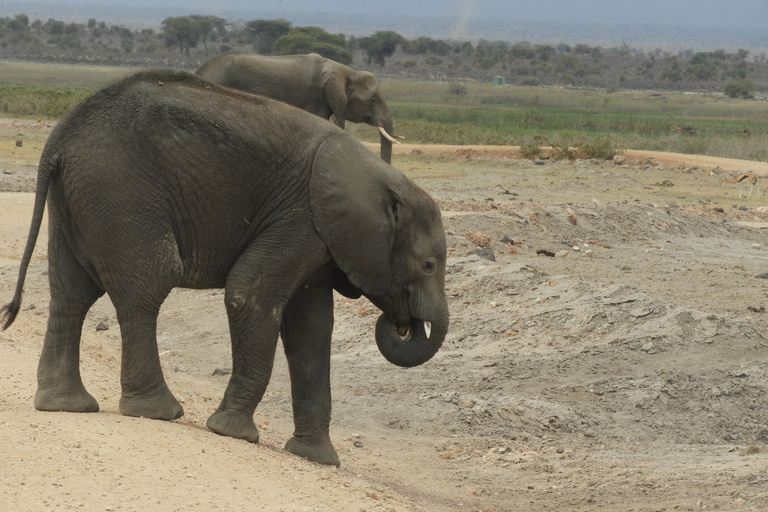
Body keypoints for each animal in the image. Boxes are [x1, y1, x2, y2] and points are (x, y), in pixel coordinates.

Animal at [0, 69, 448, 468]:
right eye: (428, 265)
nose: (403, 323)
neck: (381, 178)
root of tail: (59, 139)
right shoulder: (300, 218)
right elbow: (250, 295)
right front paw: (232, 433)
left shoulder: (321, 235)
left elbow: (312, 328)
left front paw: (318, 459)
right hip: (120, 191)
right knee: (146, 286)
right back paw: (159, 411)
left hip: (78, 196)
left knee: (71, 293)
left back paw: (64, 406)